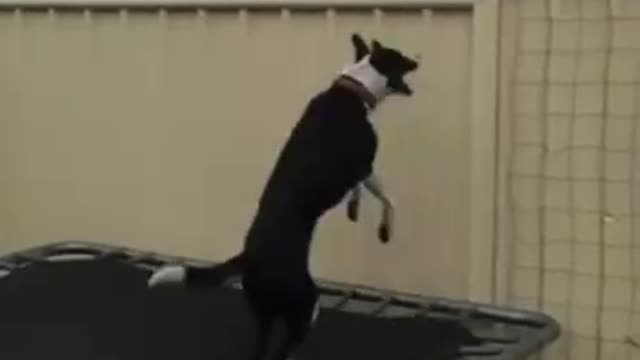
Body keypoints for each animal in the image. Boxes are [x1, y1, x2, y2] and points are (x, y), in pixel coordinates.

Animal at [147, 32, 418, 358]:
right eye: (400, 57)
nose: (418, 60)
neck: (355, 87)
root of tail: (249, 258)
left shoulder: (357, 174)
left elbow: (362, 193)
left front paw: (354, 208)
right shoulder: (364, 166)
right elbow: (388, 198)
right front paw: (384, 229)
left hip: (265, 314)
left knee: (263, 348)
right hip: (306, 306)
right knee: (286, 348)